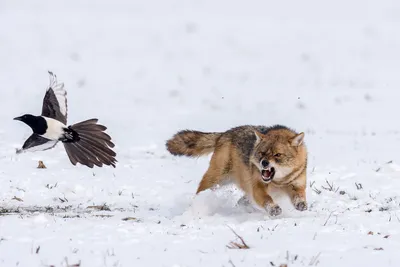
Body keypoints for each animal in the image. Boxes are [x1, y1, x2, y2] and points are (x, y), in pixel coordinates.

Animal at [164, 125, 308, 218]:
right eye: (262, 153)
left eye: (277, 155)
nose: (264, 163)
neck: (279, 182)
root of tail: (224, 133)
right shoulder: (258, 188)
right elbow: (267, 199)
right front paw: (274, 209)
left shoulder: (297, 185)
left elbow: (299, 196)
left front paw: (301, 204)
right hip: (215, 180)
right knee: (199, 193)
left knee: (242, 201)